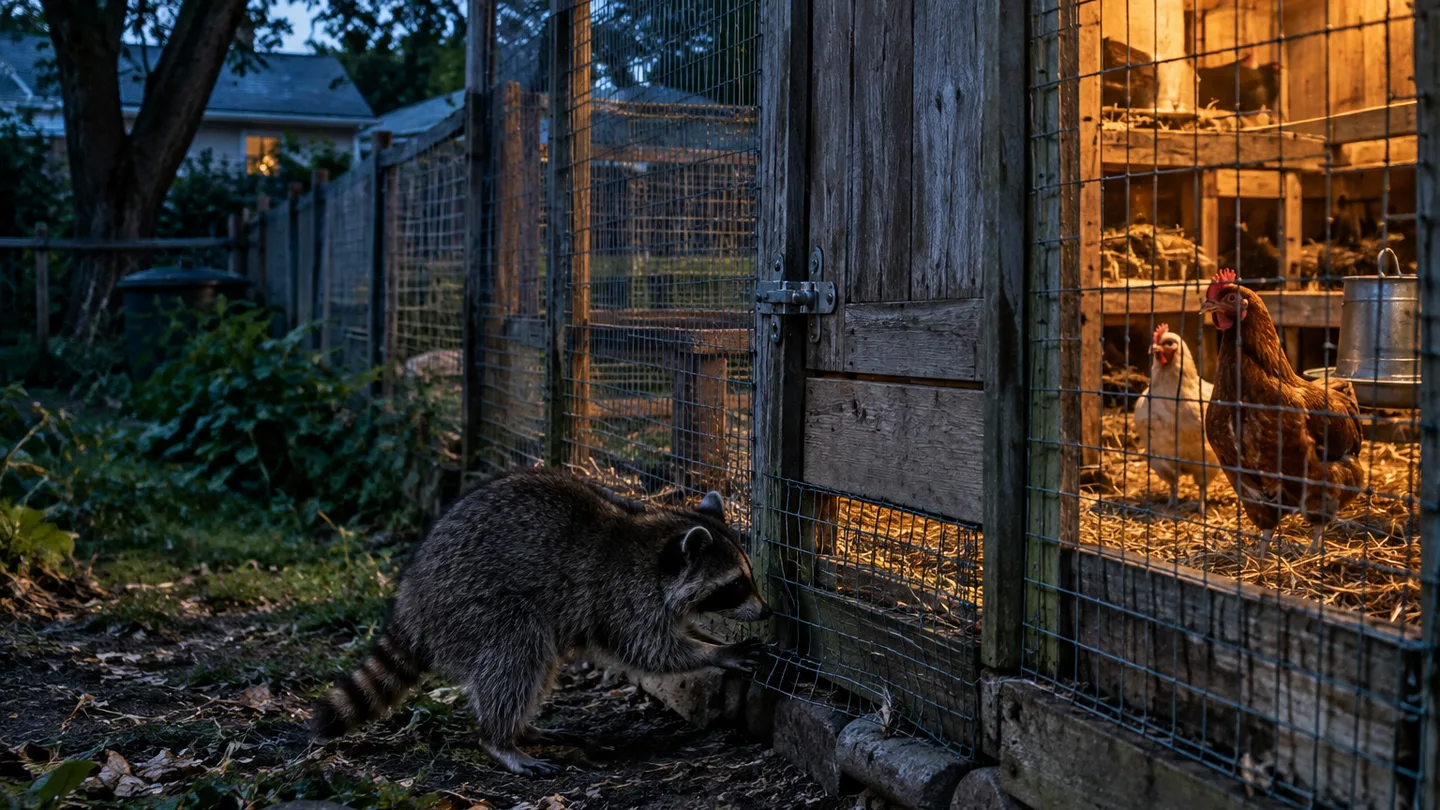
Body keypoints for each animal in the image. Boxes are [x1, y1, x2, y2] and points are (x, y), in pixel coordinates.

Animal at [309, 468, 770, 776]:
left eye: (749, 575)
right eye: (735, 585)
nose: (766, 611)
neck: (654, 541)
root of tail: (412, 597)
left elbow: (673, 634)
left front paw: (707, 638)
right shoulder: (622, 597)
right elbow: (652, 650)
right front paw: (717, 652)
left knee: (537, 664)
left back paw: (523, 729)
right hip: (472, 606)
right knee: (517, 654)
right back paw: (499, 739)